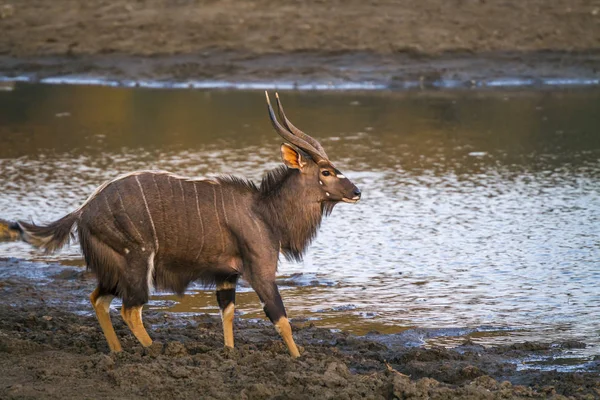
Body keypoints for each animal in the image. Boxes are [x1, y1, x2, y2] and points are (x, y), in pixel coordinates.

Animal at [11, 92, 360, 358]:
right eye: (326, 172)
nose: (357, 192)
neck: (264, 211)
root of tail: (83, 210)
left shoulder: (226, 276)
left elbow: (227, 314)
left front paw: (230, 355)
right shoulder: (260, 271)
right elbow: (281, 318)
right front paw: (299, 360)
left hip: (113, 269)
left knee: (99, 299)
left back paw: (118, 353)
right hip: (138, 262)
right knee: (130, 309)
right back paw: (154, 351)